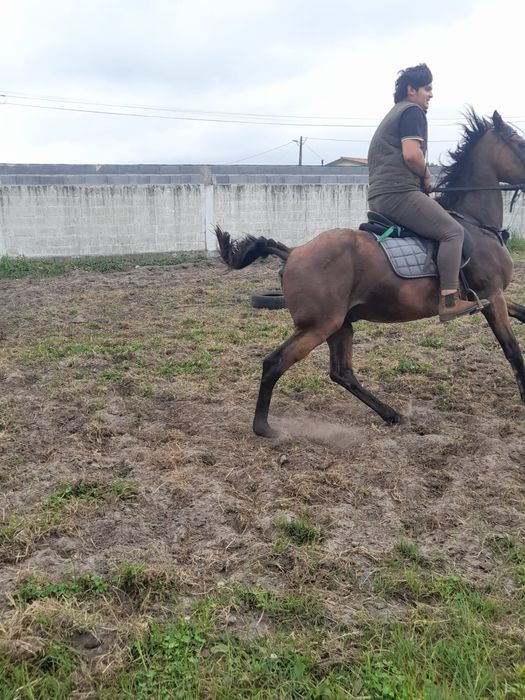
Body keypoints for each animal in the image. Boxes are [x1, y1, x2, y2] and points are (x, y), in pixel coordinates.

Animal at [215, 110, 525, 438]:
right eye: (519, 143)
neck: (475, 223)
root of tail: (294, 252)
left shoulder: (493, 296)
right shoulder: (492, 296)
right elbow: (512, 349)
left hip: (340, 325)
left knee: (341, 373)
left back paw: (390, 414)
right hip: (318, 326)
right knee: (274, 363)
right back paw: (264, 427)